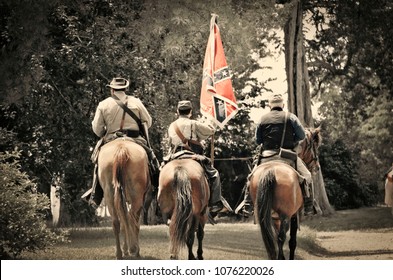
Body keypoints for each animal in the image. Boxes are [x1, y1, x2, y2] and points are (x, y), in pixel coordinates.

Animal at [250, 128, 320, 260]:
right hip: (286, 216)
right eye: (314, 146)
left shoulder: (275, 218)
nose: (317, 167)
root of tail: (270, 170)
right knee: (282, 237)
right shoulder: (293, 216)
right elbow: (292, 242)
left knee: (272, 238)